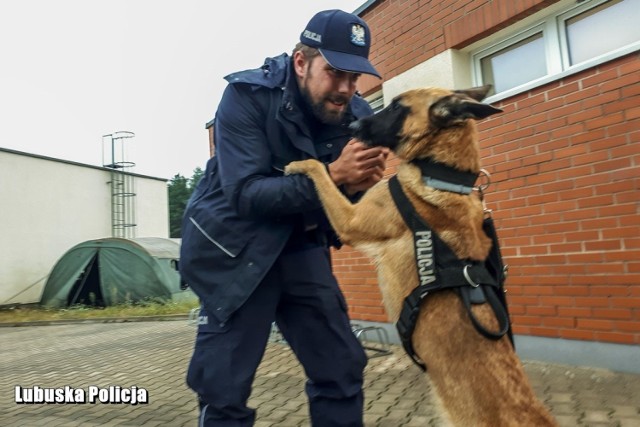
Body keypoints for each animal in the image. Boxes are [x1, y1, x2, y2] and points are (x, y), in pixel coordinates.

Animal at [288, 85, 556, 426]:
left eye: (395, 108)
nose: (352, 126)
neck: (442, 175)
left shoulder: (351, 221)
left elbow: (320, 171)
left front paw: (300, 164)